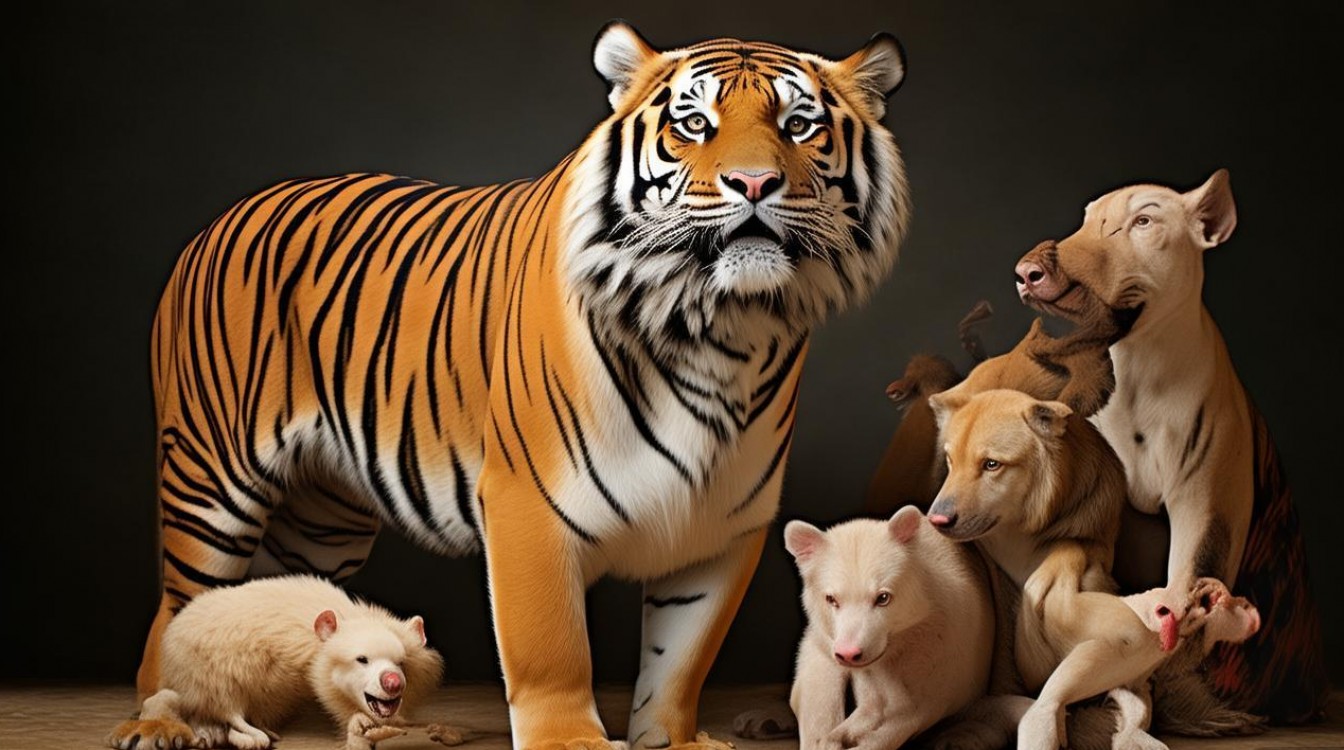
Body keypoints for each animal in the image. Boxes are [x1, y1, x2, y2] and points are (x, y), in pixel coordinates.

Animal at [116, 22, 912, 750]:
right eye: (693, 124)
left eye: (799, 125)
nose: (753, 183)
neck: (724, 329)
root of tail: (224, 217)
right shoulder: (530, 506)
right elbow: (551, 646)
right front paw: (571, 741)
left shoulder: (723, 523)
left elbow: (682, 658)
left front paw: (673, 740)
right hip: (210, 483)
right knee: (175, 614)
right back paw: (160, 723)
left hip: (325, 518)